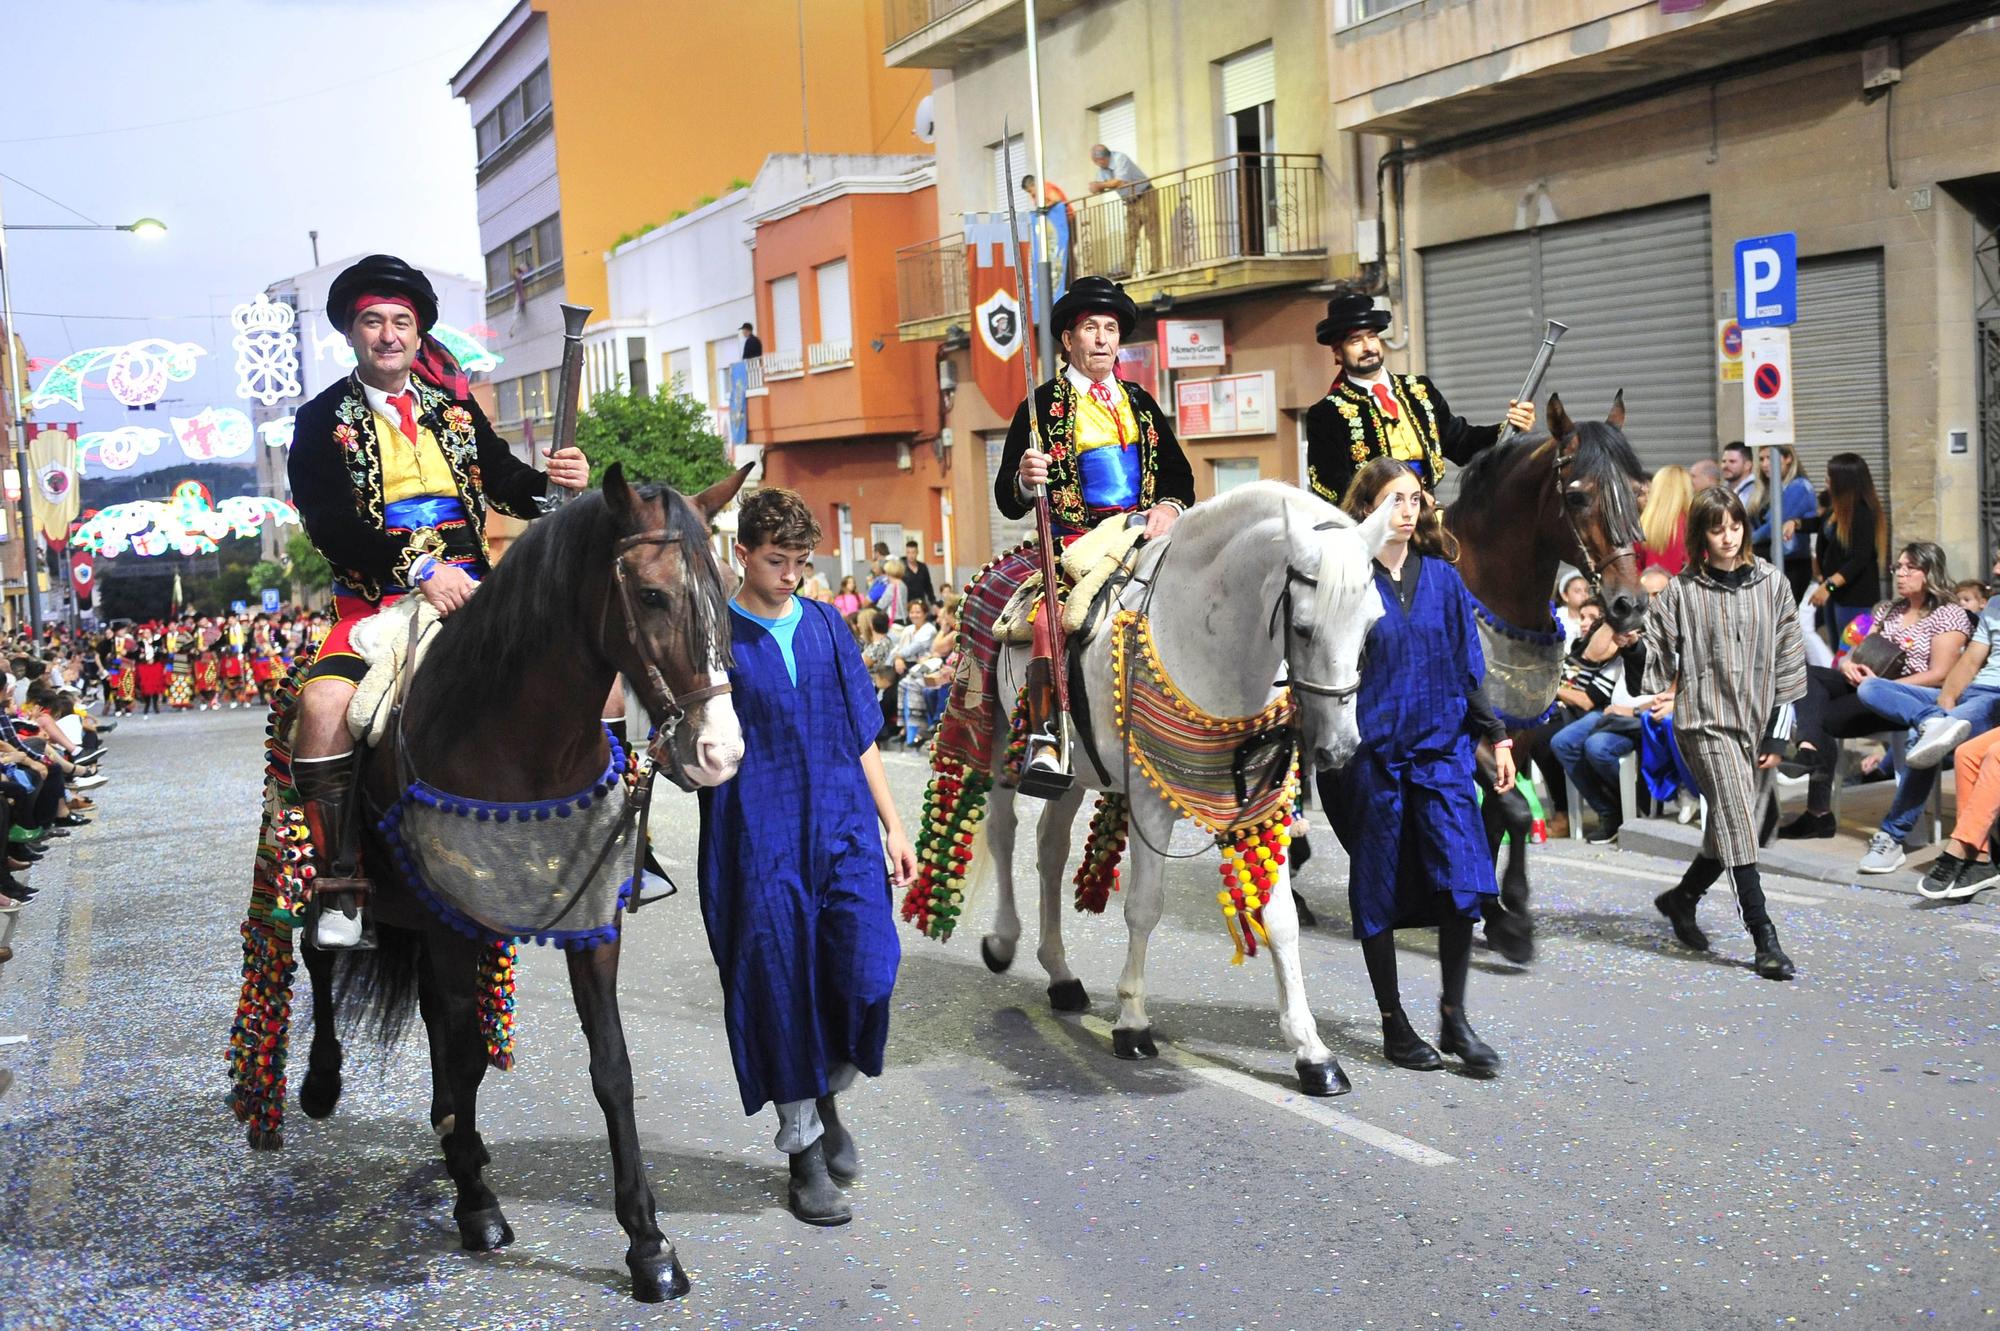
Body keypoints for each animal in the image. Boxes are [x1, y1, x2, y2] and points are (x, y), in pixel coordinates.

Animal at [972, 479, 1392, 1087]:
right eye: (1303, 627)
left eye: (1371, 625)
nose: (1337, 749)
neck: (1211, 638)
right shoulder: (1150, 802)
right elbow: (1144, 906)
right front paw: (1132, 1022)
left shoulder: (1263, 802)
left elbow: (1281, 920)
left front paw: (1311, 1050)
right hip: (1003, 739)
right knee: (1003, 832)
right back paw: (1004, 940)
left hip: (1077, 776)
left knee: (1049, 851)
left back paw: (1061, 976)